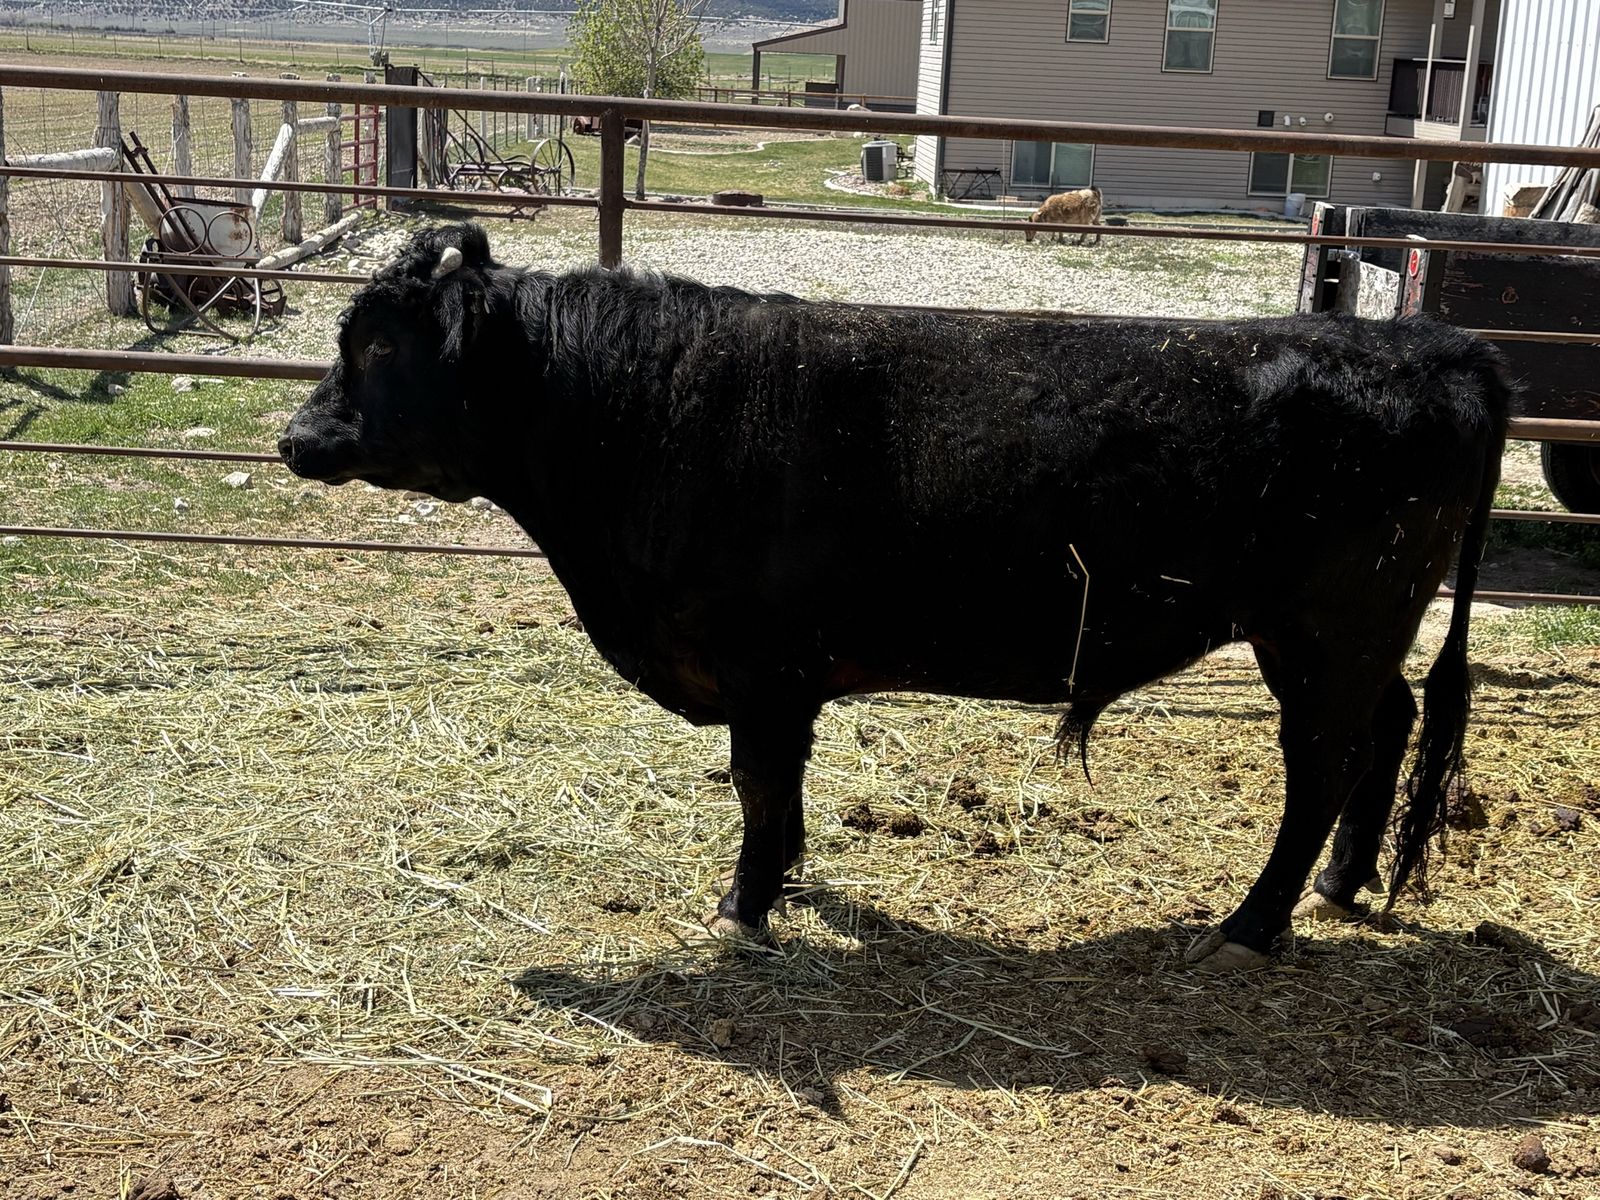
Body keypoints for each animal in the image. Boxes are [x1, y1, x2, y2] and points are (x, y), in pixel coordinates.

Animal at [280, 224, 1509, 972]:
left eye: (377, 344)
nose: (294, 437)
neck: (647, 412)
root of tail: (1435, 342)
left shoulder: (763, 672)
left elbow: (758, 790)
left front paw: (742, 910)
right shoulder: (780, 679)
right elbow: (777, 796)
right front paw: (786, 886)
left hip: (1325, 629)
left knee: (1321, 764)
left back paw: (1252, 925)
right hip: (1349, 634)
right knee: (1387, 725)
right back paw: (1344, 883)